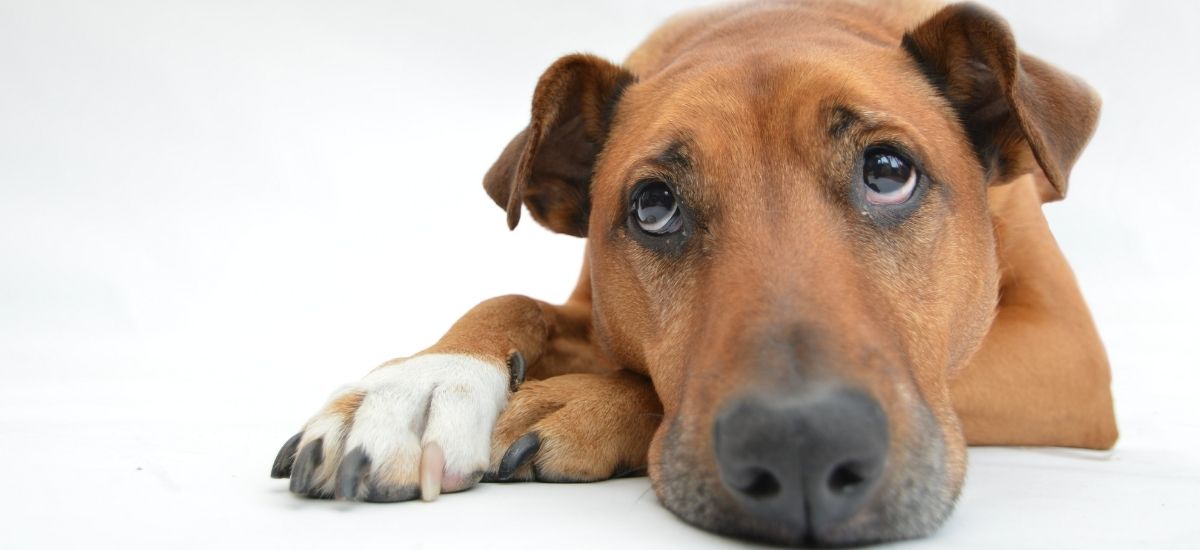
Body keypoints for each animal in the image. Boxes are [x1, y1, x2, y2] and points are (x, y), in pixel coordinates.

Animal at [270, 1, 1113, 545]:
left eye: (887, 171)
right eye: (652, 207)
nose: (800, 446)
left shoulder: (1067, 353)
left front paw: (588, 403)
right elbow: (511, 298)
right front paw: (419, 386)